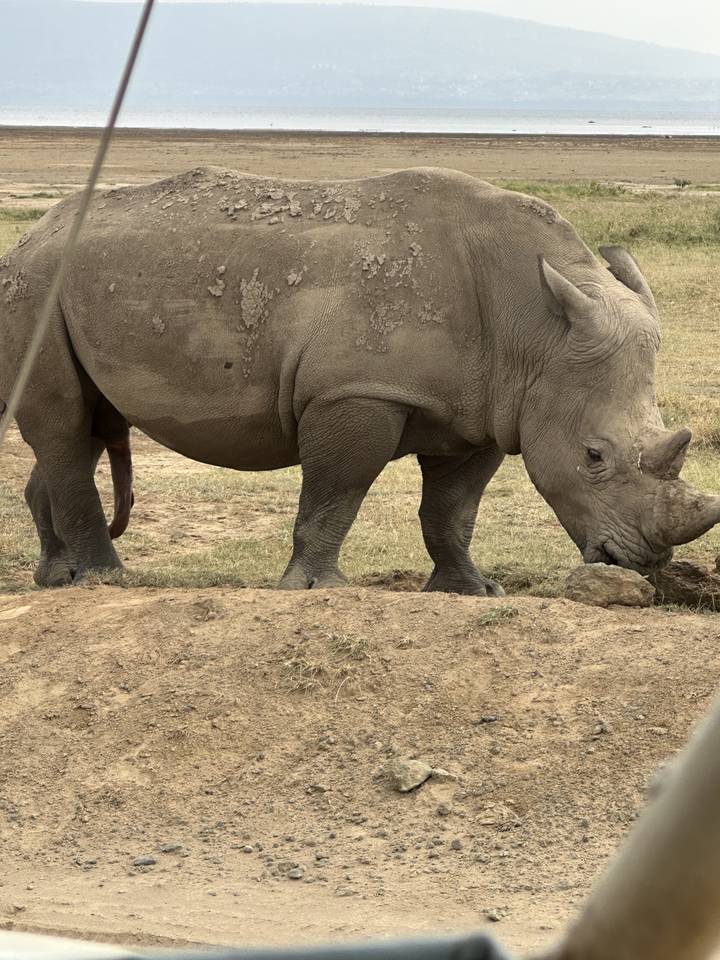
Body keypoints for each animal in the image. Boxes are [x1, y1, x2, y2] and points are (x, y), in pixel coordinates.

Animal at [1, 165, 718, 592]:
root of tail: (32, 235)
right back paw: (104, 579)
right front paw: (317, 588)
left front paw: (471, 589)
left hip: (63, 288)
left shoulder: (488, 410)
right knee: (66, 426)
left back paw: (55, 578)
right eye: (594, 456)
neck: (536, 331)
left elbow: (453, 510)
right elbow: (336, 492)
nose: (644, 565)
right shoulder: (356, 392)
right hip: (33, 288)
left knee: (83, 427)